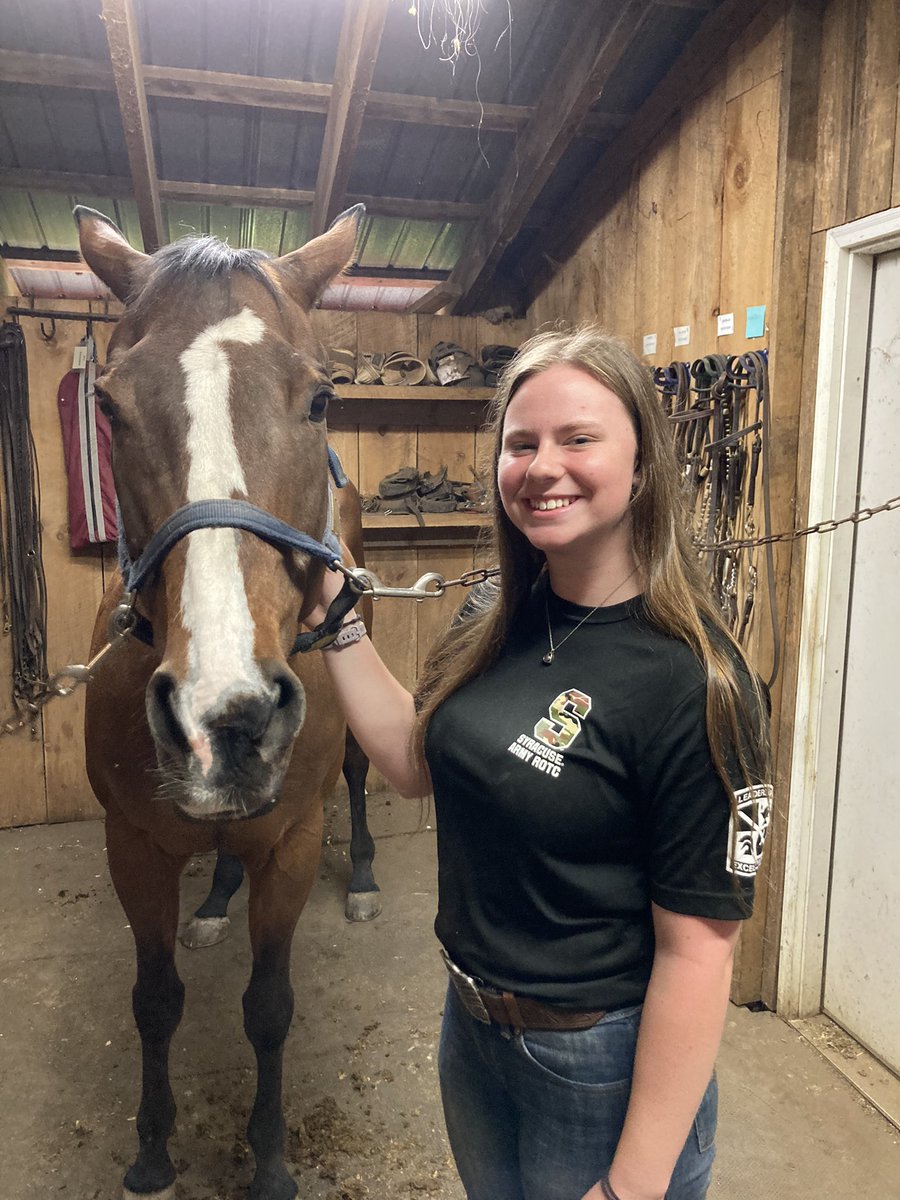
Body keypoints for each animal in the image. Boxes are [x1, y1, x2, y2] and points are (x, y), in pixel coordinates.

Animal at [75, 203, 377, 1200]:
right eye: (108, 406)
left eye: (320, 397)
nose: (228, 712)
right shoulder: (132, 846)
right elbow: (154, 1000)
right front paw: (152, 1146)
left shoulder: (290, 844)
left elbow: (269, 1007)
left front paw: (272, 1157)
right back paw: (213, 898)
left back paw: (364, 877)